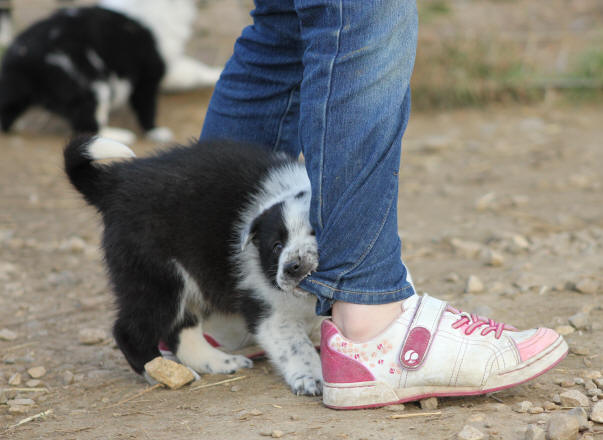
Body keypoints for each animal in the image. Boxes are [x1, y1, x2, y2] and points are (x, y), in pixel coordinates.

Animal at [0, 6, 172, 144]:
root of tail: (24, 58)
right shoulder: (147, 75)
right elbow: (147, 107)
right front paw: (156, 132)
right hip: (89, 84)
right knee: (87, 122)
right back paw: (116, 136)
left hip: (18, 86)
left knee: (8, 110)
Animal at [63, 135, 324, 396]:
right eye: (277, 246)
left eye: (315, 233)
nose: (291, 267)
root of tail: (115, 183)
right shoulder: (267, 306)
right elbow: (296, 345)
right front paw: (311, 378)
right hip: (157, 277)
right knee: (129, 332)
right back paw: (157, 371)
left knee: (181, 330)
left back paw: (219, 362)